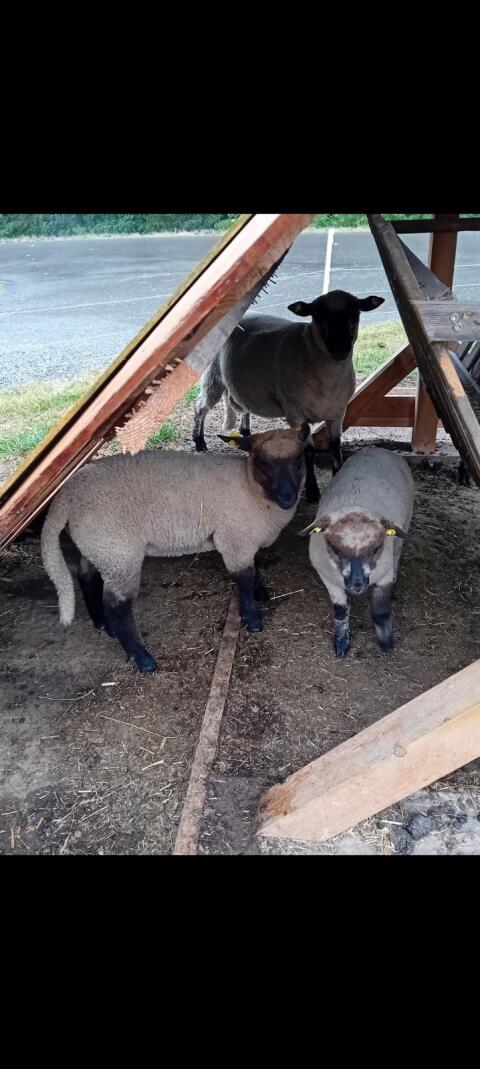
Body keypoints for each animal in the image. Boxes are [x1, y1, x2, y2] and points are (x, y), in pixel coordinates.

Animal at [40, 427, 308, 673]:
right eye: (262, 463)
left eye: (299, 460)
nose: (288, 498)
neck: (250, 486)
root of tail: (65, 497)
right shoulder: (234, 539)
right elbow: (244, 579)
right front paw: (253, 620)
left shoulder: (248, 539)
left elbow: (256, 567)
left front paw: (260, 592)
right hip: (119, 553)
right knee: (118, 606)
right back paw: (142, 658)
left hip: (100, 548)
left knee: (86, 576)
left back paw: (103, 625)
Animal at [192, 289, 385, 504]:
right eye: (318, 314)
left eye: (355, 313)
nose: (340, 349)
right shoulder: (295, 415)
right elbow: (307, 452)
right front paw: (312, 492)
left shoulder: (338, 412)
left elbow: (335, 446)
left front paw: (338, 475)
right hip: (212, 376)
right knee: (200, 406)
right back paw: (199, 442)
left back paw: (245, 432)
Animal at [300, 447, 414, 657]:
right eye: (335, 548)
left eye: (376, 548)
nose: (357, 584)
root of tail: (380, 448)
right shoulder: (328, 577)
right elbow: (340, 611)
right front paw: (342, 642)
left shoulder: (384, 575)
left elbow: (380, 610)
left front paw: (386, 640)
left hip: (402, 532)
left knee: (396, 556)